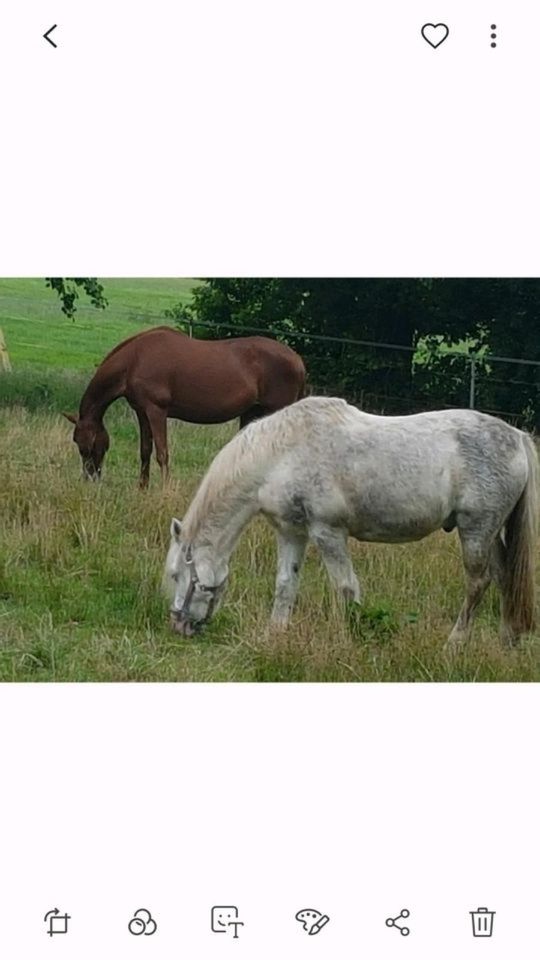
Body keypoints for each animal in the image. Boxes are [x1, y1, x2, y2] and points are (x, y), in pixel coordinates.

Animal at [63, 324, 306, 488]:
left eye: (86, 443)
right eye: (76, 442)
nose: (90, 477)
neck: (134, 360)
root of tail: (298, 360)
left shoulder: (156, 411)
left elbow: (162, 453)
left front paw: (165, 490)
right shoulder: (142, 412)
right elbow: (145, 450)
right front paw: (142, 488)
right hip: (252, 413)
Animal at [163, 394, 536, 648]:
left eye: (178, 575)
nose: (178, 625)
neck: (281, 455)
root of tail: (518, 438)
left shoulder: (328, 533)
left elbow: (345, 588)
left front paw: (352, 637)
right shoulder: (292, 533)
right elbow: (285, 585)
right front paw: (275, 634)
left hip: (476, 531)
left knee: (478, 582)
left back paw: (454, 644)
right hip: (492, 534)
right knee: (504, 578)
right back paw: (508, 640)